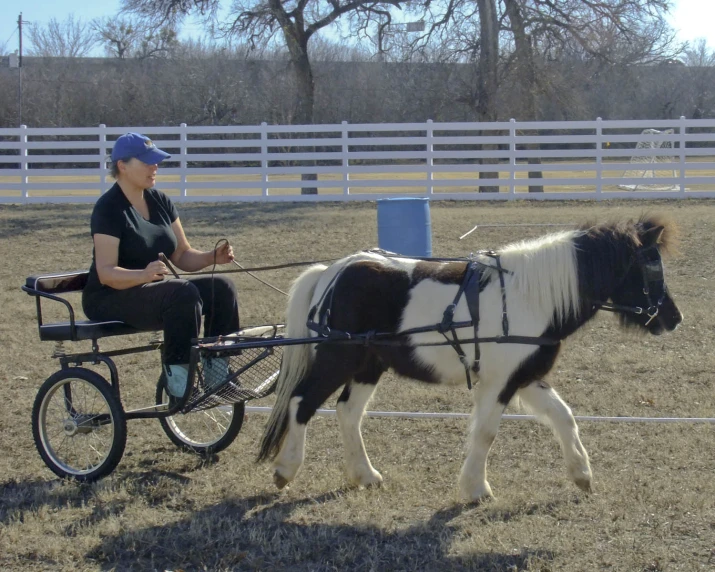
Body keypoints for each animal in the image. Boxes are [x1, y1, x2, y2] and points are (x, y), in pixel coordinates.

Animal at [260, 216, 684, 500]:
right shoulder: (500, 382)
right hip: (338, 360)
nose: (674, 318)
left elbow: (563, 417)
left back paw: (364, 475)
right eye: (651, 268)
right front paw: (476, 488)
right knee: (301, 402)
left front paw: (581, 474)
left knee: (348, 411)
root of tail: (333, 270)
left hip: (368, 365)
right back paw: (286, 469)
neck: (529, 298)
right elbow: (486, 432)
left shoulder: (525, 377)